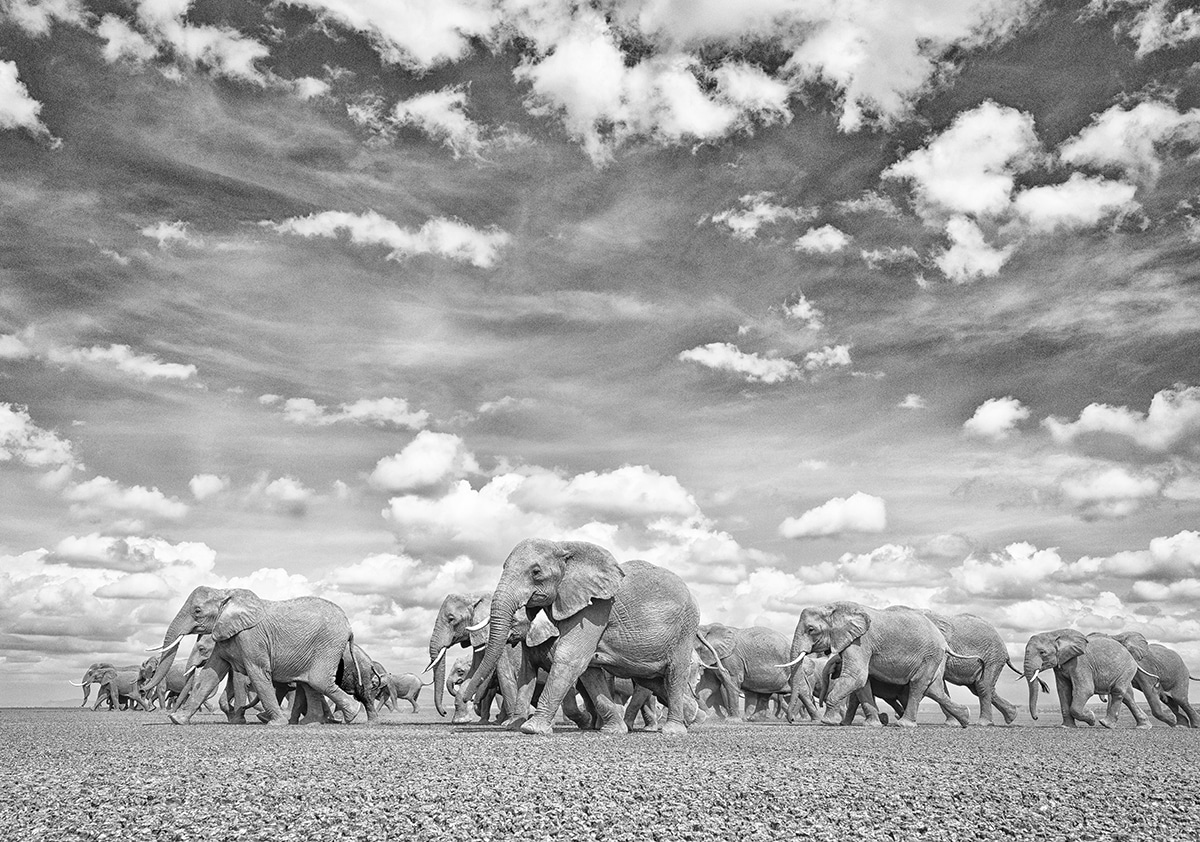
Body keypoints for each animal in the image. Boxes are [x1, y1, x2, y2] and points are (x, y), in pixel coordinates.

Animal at [145, 587, 360, 724]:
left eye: (197, 611)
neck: (226, 593)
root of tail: (350, 627)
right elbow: (210, 674)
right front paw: (177, 720)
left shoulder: (251, 637)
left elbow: (257, 672)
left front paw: (275, 724)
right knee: (309, 683)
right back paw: (311, 722)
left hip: (328, 644)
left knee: (317, 680)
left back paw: (352, 714)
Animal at [458, 544, 700, 734]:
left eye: (536, 572)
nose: (466, 697)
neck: (564, 547)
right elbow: (582, 671)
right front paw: (612, 730)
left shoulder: (595, 609)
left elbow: (571, 659)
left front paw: (532, 729)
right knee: (652, 680)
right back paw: (693, 716)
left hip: (684, 629)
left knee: (674, 674)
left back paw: (674, 730)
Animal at [782, 604, 969, 729]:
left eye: (811, 629)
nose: (791, 720)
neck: (834, 607)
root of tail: (944, 641)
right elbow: (862, 683)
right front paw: (870, 725)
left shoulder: (861, 641)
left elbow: (857, 676)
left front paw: (828, 722)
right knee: (932, 689)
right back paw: (965, 718)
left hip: (930, 655)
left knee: (918, 684)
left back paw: (904, 724)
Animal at [1022, 628, 1152, 729]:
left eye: (1042, 652)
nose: (1036, 717)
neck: (1055, 633)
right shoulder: (1060, 665)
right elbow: (1063, 691)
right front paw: (1067, 727)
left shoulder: (1080, 663)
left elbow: (1085, 689)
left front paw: (1092, 718)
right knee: (1127, 696)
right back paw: (1144, 726)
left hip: (1127, 668)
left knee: (1118, 691)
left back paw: (1105, 724)